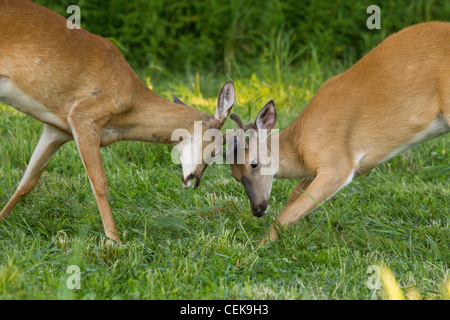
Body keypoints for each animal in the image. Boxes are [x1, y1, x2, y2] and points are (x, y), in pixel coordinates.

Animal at [0, 0, 237, 242]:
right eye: (216, 149)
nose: (193, 180)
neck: (131, 100)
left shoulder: (57, 130)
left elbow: (28, 181)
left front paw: (2, 221)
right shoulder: (84, 117)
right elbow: (99, 182)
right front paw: (115, 240)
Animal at [225, 22, 450, 245]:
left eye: (254, 163)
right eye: (235, 176)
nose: (257, 209)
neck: (299, 144)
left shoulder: (337, 163)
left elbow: (291, 212)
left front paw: (257, 246)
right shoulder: (318, 168)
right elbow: (292, 197)